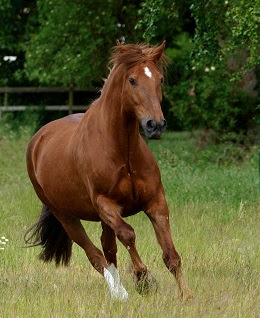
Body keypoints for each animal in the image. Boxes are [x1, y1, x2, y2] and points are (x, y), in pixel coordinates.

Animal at [25, 40, 192, 300]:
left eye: (160, 79)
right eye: (132, 80)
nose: (155, 125)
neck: (122, 151)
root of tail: (38, 140)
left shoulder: (156, 201)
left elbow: (171, 254)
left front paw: (186, 295)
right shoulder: (106, 205)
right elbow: (128, 234)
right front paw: (144, 279)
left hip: (102, 219)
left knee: (108, 248)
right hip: (66, 216)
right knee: (95, 254)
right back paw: (119, 293)